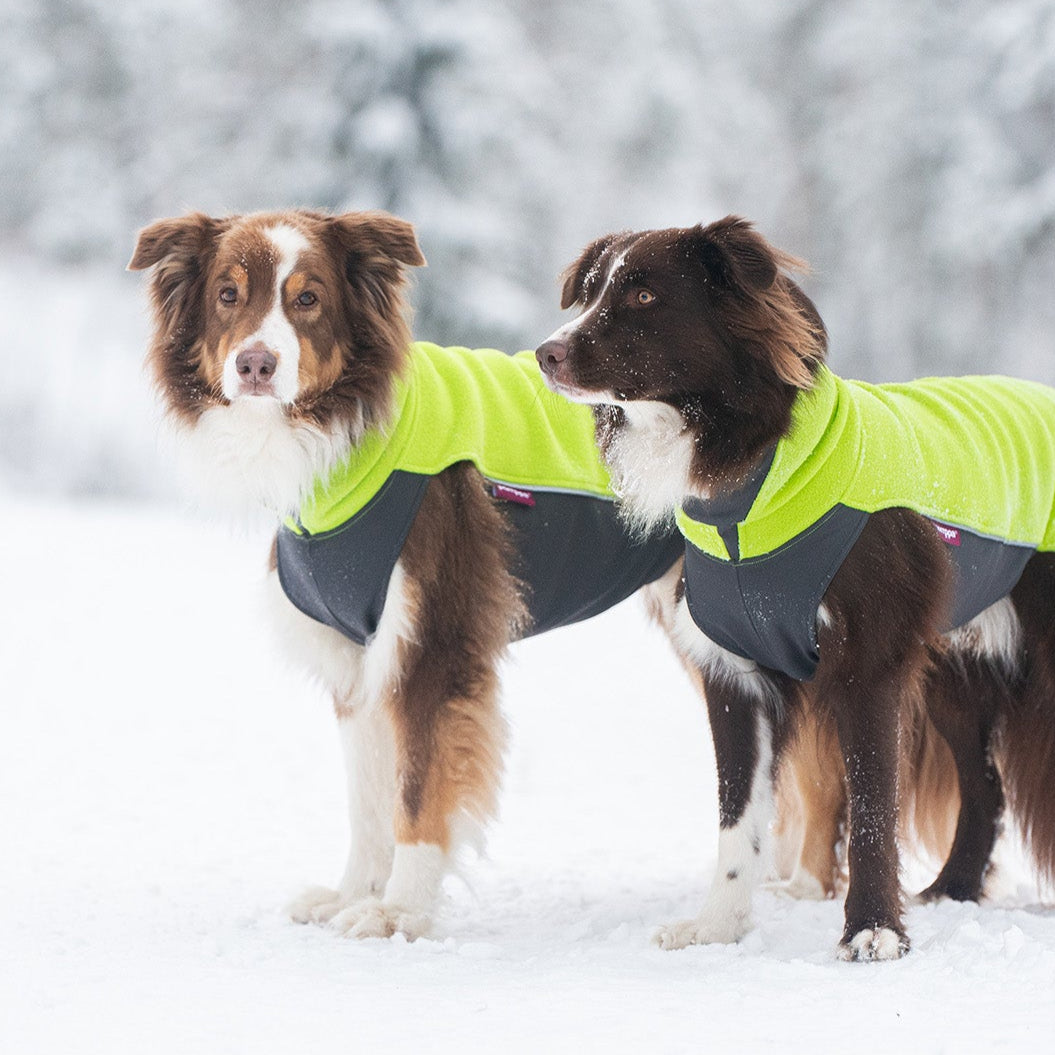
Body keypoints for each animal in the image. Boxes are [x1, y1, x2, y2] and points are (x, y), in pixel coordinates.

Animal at [540, 218, 1055, 962]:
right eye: (589, 291)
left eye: (642, 294)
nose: (544, 353)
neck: (750, 483)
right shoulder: (733, 675)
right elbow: (737, 817)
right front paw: (717, 926)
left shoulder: (868, 665)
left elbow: (870, 811)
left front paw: (872, 930)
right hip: (956, 672)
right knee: (984, 787)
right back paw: (951, 890)